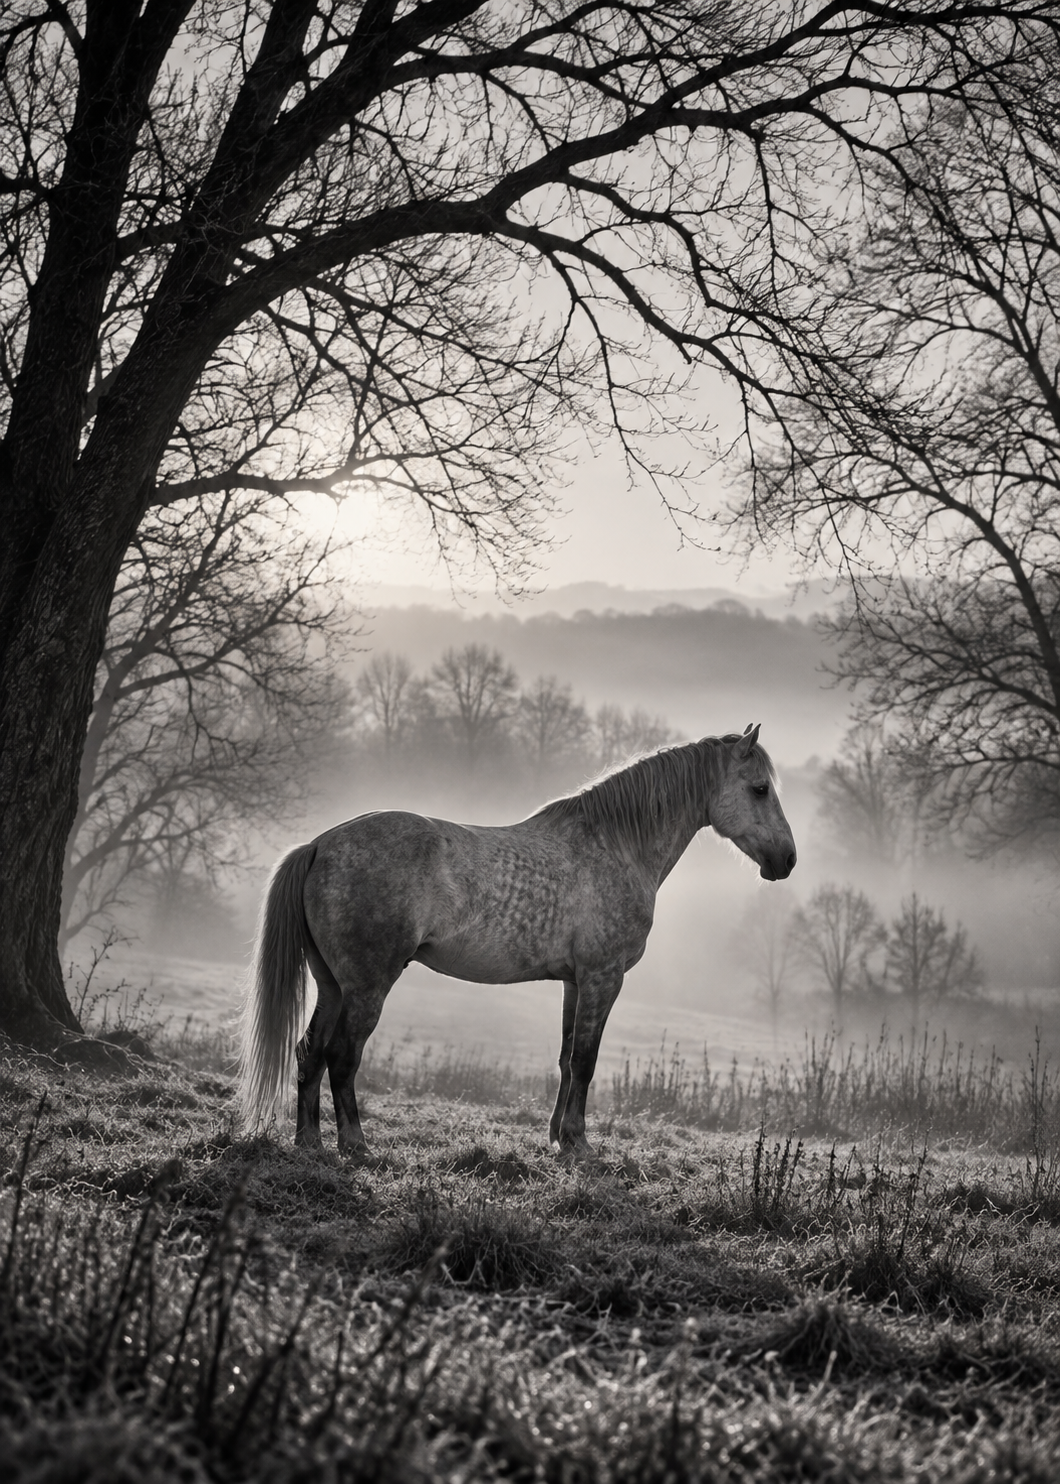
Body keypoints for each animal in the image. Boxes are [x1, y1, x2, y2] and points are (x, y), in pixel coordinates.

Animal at [239, 723, 796, 1156]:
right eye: (760, 789)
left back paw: (309, 1141)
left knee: (309, 1052)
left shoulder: (575, 981)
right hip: (366, 985)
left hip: (332, 983)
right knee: (341, 1056)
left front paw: (556, 1137)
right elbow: (586, 1060)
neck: (615, 845)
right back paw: (354, 1143)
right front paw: (578, 1142)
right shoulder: (603, 977)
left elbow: (567, 1058)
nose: (787, 860)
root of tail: (320, 844)